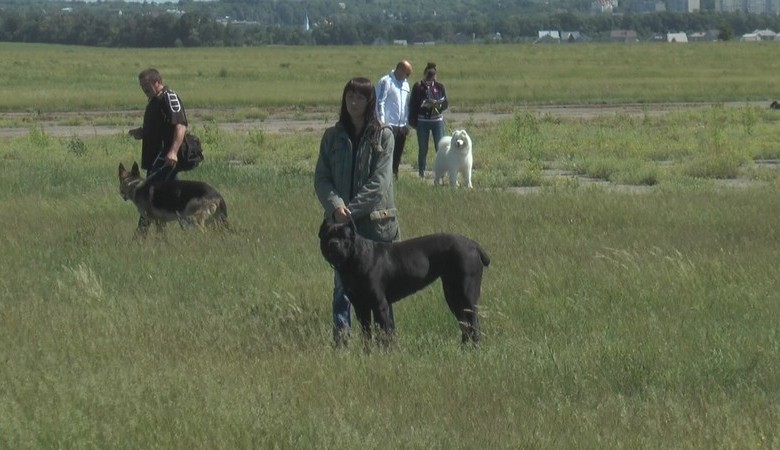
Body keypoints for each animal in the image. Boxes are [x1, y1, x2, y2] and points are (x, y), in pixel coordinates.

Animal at [316, 221, 488, 344]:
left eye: (344, 237)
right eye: (327, 236)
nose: (333, 243)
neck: (354, 260)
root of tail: (474, 245)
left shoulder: (380, 305)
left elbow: (384, 331)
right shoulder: (361, 306)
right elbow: (366, 334)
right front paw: (367, 354)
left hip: (467, 294)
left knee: (474, 323)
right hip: (453, 295)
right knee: (465, 323)